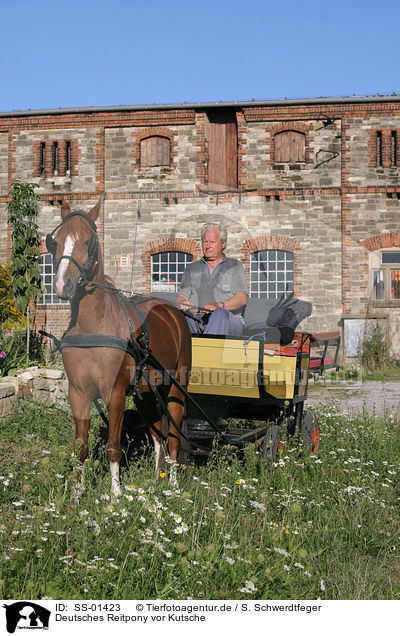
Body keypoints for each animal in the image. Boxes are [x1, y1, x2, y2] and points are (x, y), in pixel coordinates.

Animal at [47, 201, 191, 500]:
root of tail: (174, 313)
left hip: (176, 390)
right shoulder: (78, 393)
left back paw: (171, 485)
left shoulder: (114, 394)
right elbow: (81, 446)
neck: (93, 326)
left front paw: (115, 494)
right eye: (55, 241)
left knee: (173, 438)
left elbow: (114, 445)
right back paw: (156, 479)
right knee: (158, 437)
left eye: (89, 241)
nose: (63, 285)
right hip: (146, 394)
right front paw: (77, 494)